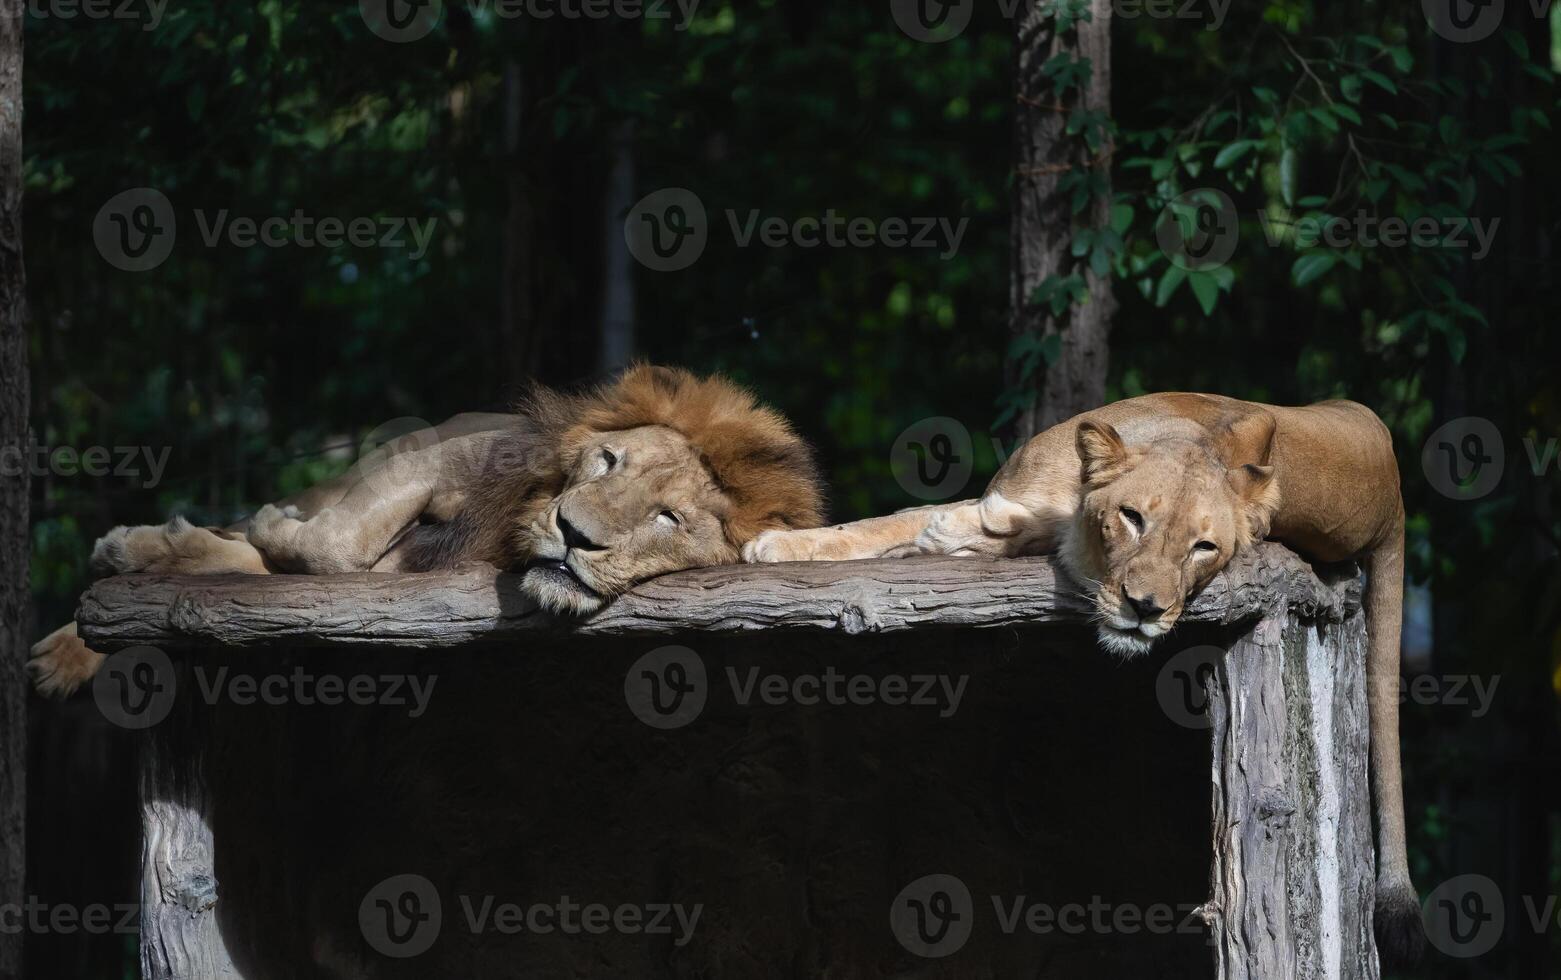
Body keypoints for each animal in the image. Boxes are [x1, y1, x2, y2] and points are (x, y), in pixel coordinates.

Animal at [30, 365, 824, 695]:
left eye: (668, 518)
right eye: (607, 460)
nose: (571, 532)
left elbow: (317, 557)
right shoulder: (433, 457)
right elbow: (326, 544)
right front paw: (273, 524)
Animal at [743, 390, 1429, 967]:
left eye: (1204, 548)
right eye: (1132, 518)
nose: (1146, 608)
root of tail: (1393, 491)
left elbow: (967, 528)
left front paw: (967, 536)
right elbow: (884, 522)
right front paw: (780, 545)